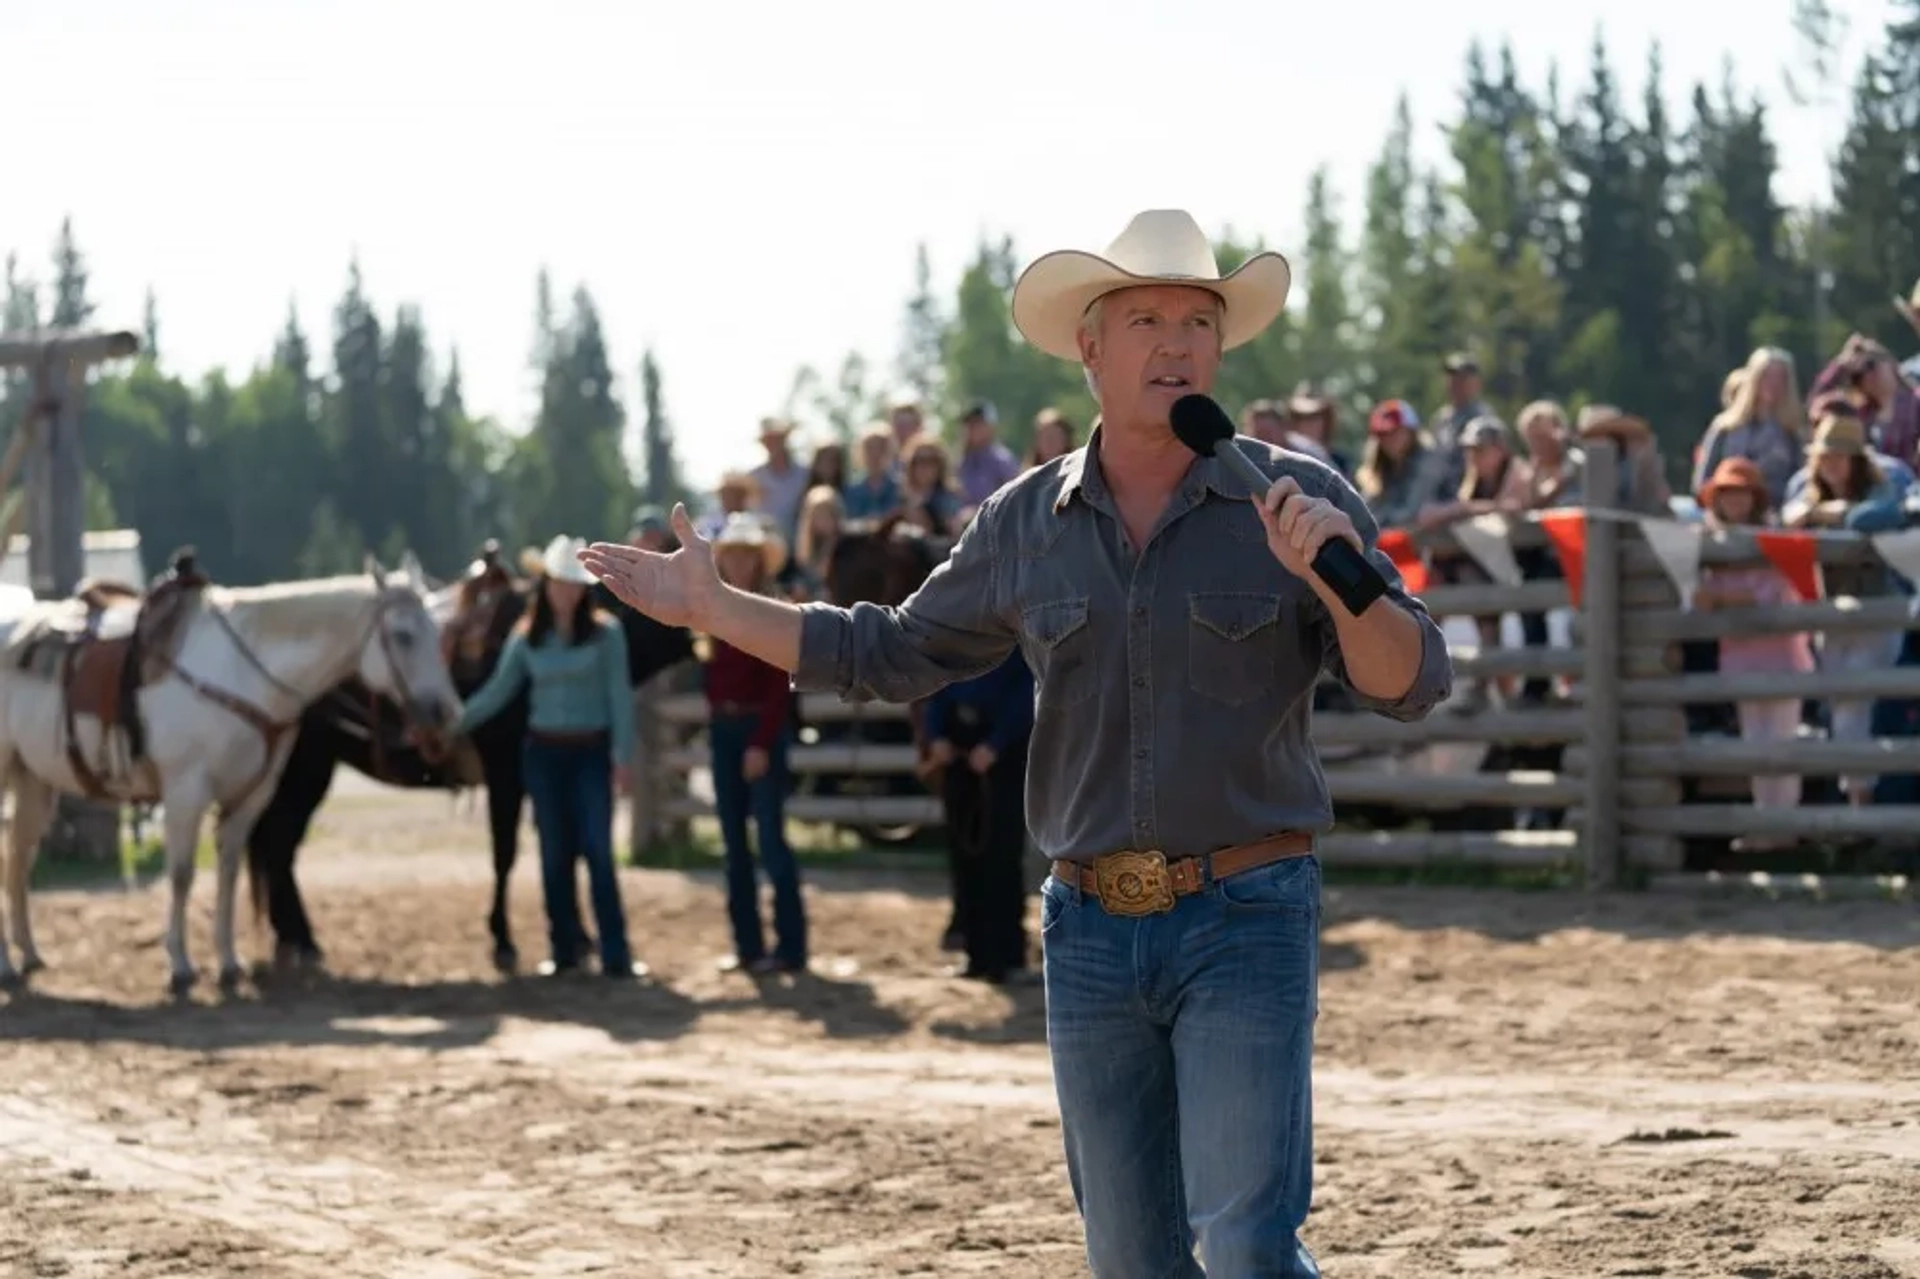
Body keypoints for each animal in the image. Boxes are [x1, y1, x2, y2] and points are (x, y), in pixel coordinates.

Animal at [0, 556, 460, 983]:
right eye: (403, 635)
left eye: (437, 631)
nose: (446, 712)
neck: (241, 675)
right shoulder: (185, 792)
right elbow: (182, 874)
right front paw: (180, 965)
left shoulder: (250, 797)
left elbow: (229, 873)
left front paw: (228, 962)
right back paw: (7, 964)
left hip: (34, 782)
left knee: (19, 859)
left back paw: (30, 953)